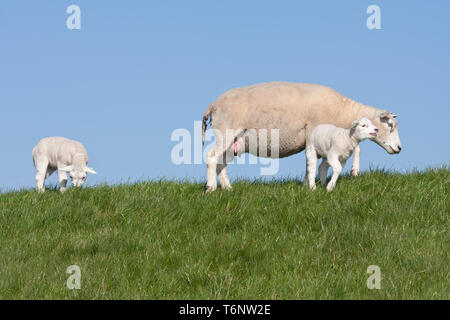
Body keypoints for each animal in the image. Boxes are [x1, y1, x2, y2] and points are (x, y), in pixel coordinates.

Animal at [202, 82, 402, 192]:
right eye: (390, 125)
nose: (400, 148)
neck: (342, 111)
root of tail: (214, 104)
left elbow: (314, 162)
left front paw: (307, 183)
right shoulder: (315, 133)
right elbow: (313, 161)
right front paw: (353, 171)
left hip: (234, 141)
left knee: (221, 162)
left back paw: (227, 188)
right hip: (226, 131)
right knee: (211, 157)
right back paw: (211, 188)